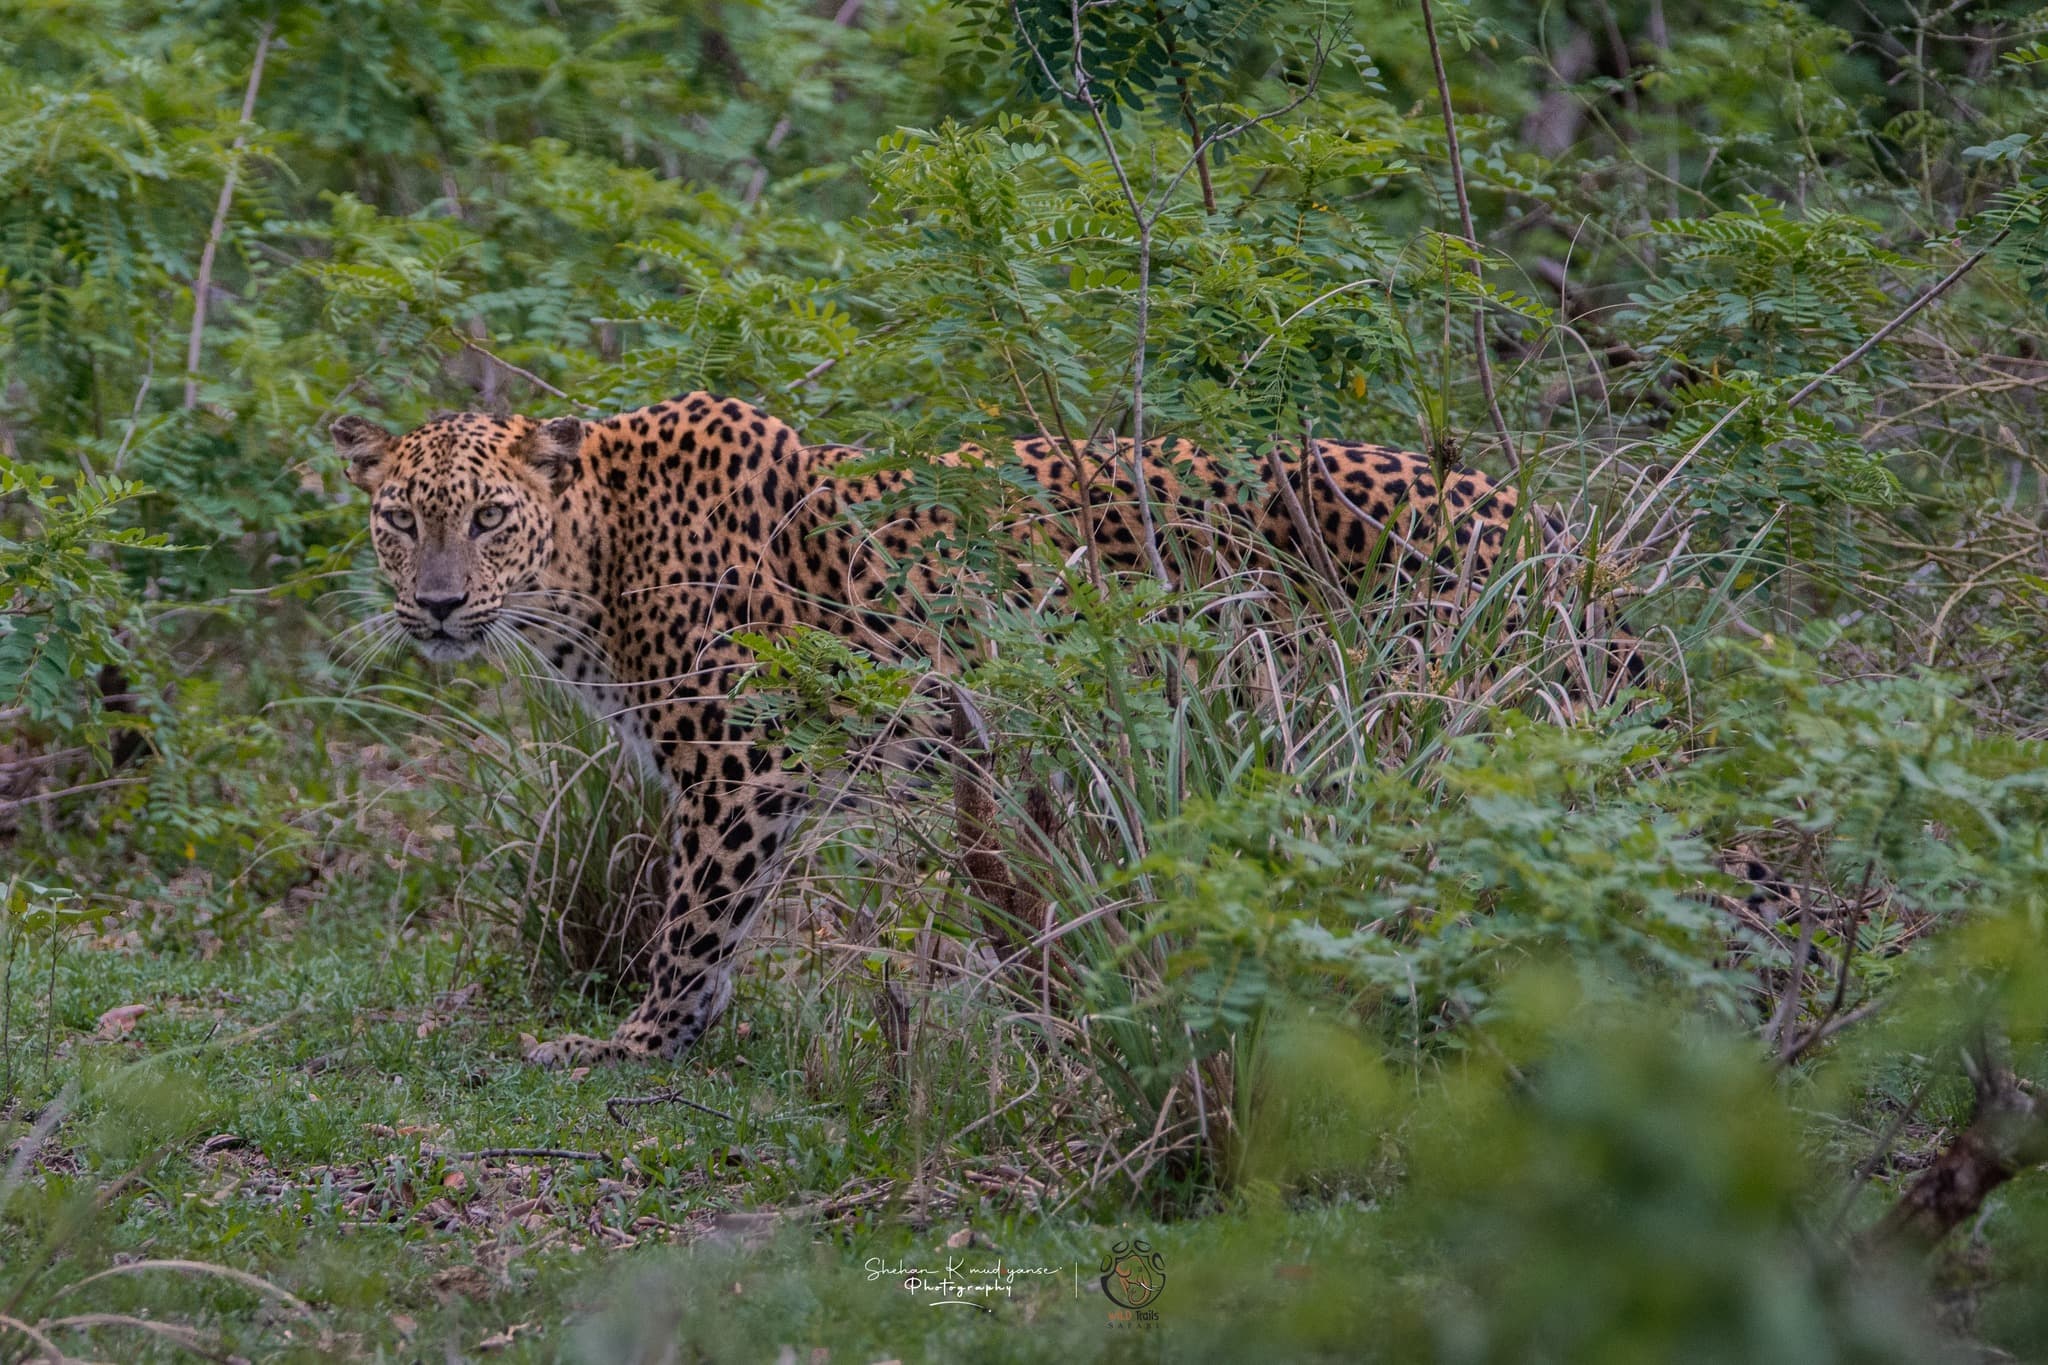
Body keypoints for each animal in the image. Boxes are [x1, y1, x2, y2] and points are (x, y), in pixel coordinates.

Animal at [331, 392, 1560, 1067]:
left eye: (490, 517)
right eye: (399, 520)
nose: (435, 604)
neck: (592, 569)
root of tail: (1529, 507)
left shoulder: (742, 765)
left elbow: (692, 922)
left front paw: (635, 1045)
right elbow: (718, 925)